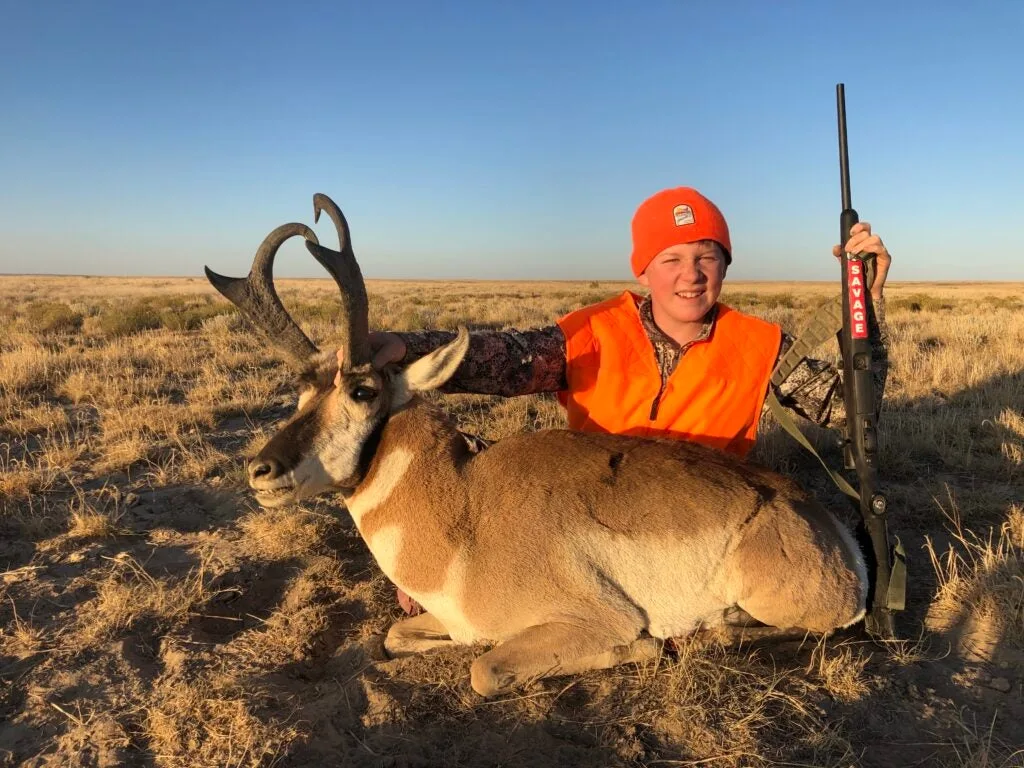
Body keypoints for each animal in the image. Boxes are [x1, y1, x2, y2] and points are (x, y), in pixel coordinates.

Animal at [203, 195, 868, 700]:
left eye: (362, 390)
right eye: (299, 390)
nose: (260, 470)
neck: (463, 513)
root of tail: (822, 520)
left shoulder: (584, 620)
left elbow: (485, 665)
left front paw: (645, 646)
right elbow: (396, 634)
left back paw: (710, 630)